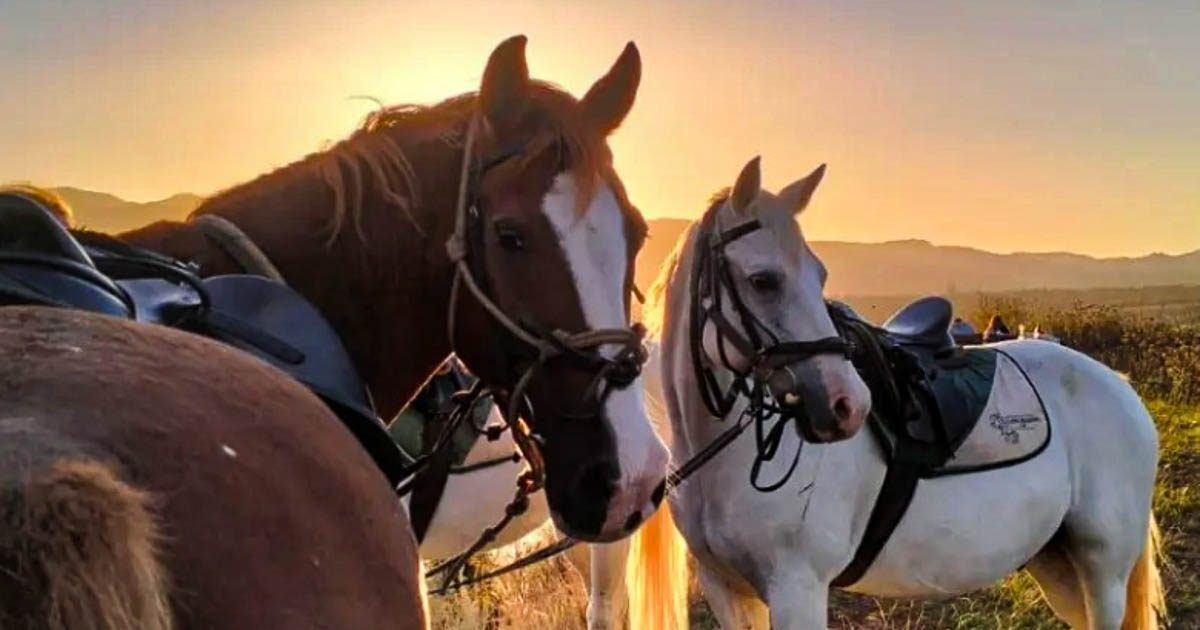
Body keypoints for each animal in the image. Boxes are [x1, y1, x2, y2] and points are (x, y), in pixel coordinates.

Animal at [625, 157, 1166, 629]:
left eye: (819, 274)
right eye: (763, 280)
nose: (848, 405)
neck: (721, 459)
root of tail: (1119, 387)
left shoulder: (798, 590)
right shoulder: (728, 590)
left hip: (1103, 569)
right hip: (1056, 563)